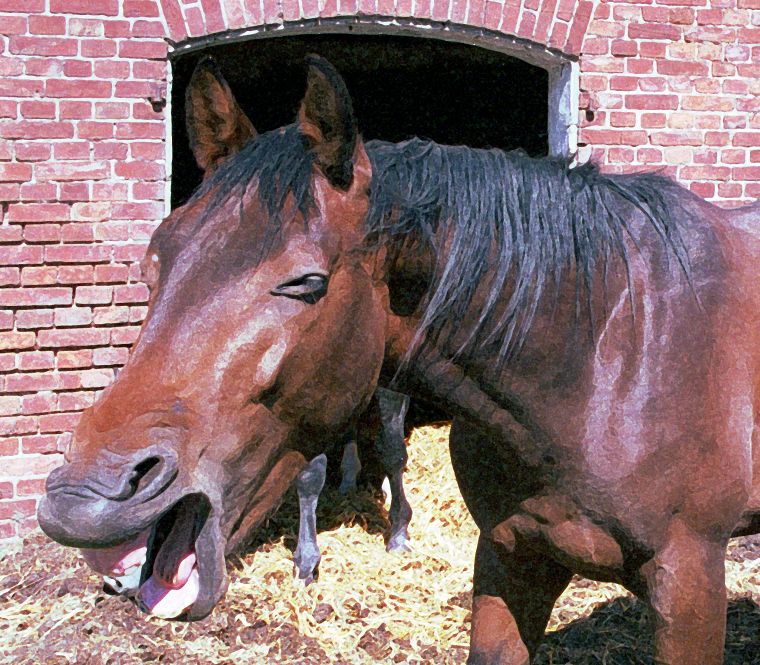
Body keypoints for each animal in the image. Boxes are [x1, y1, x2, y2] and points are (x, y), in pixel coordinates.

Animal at [38, 55, 760, 664]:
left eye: (307, 282)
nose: (82, 498)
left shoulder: (689, 583)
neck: (606, 359)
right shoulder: (509, 555)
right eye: (156, 259)